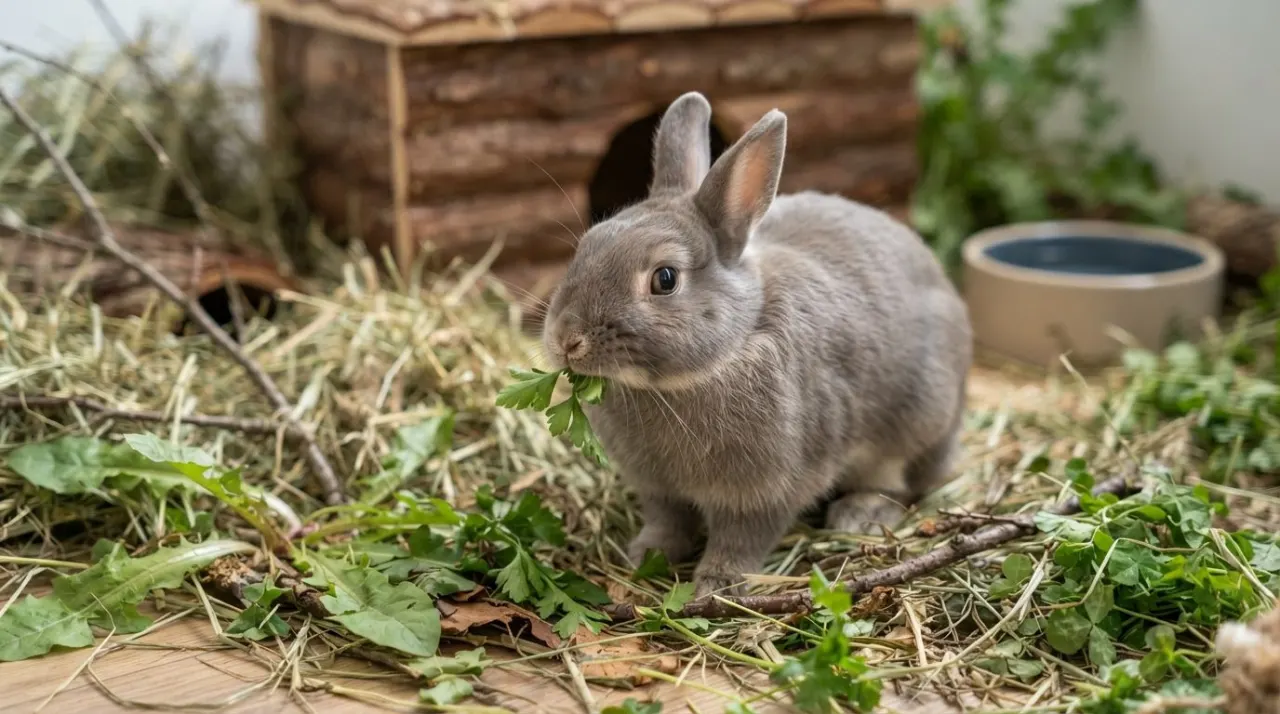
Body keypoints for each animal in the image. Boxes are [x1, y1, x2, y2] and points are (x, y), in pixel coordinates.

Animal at [541, 91, 972, 597]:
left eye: (665, 279)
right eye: (586, 245)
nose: (566, 339)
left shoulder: (768, 489)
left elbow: (742, 539)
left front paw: (715, 586)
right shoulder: (660, 489)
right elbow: (668, 521)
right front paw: (644, 555)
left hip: (917, 420)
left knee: (897, 482)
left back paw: (859, 514)